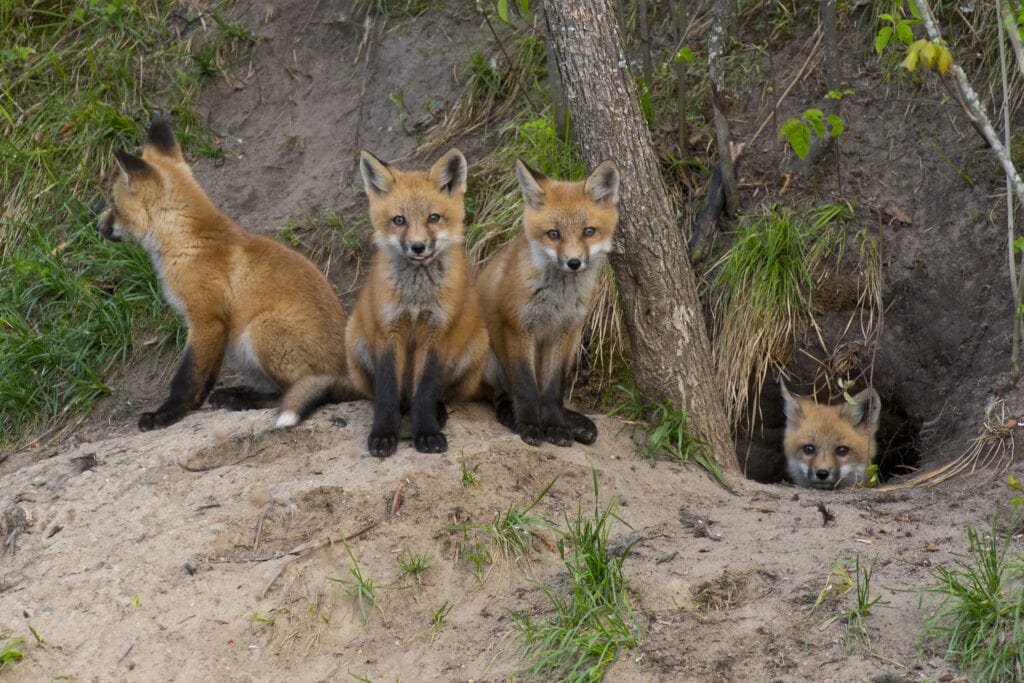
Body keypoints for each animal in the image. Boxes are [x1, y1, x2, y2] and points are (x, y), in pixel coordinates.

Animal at [98, 119, 351, 431]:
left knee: (294, 393)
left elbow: (187, 376)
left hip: (260, 330)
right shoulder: (216, 328)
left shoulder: (206, 319)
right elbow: (205, 376)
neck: (188, 242)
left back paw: (242, 399)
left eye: (115, 207)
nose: (98, 227)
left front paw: (167, 414)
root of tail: (348, 375)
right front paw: (194, 405)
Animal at [345, 148, 489, 458]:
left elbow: (425, 392)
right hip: (354, 339)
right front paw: (383, 434)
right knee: (391, 395)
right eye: (399, 220)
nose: (418, 246)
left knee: (438, 394)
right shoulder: (389, 329)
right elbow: (386, 392)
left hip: (476, 347)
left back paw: (438, 412)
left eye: (433, 217)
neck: (415, 298)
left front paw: (427, 433)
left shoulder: (437, 332)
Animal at [476, 159, 620, 447]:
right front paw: (530, 425)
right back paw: (511, 416)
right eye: (554, 234)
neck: (558, 300)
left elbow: (553, 390)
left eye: (588, 231)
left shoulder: (563, 332)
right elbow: (527, 388)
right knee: (500, 394)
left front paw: (556, 426)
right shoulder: (519, 328)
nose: (574, 262)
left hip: (573, 345)